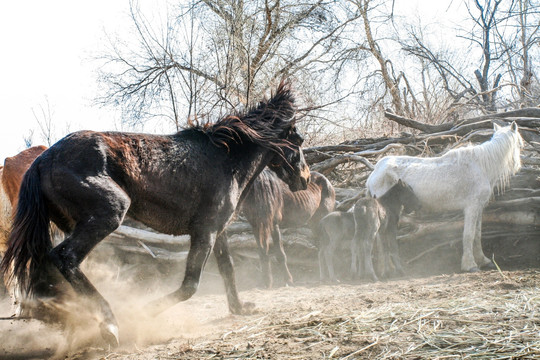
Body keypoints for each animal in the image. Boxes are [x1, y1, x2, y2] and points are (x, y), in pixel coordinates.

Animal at [0, 82, 310, 346]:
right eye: (299, 140)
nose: (305, 179)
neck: (226, 160)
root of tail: (42, 160)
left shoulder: (217, 231)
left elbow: (227, 269)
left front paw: (241, 308)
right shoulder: (205, 232)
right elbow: (190, 285)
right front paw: (146, 312)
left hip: (69, 224)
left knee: (50, 267)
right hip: (108, 214)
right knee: (65, 257)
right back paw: (110, 324)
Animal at [368, 122, 524, 272]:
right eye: (519, 144)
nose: (518, 166)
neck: (480, 166)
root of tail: (376, 171)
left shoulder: (479, 208)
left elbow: (477, 234)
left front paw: (483, 261)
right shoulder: (472, 207)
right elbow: (468, 235)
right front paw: (470, 265)